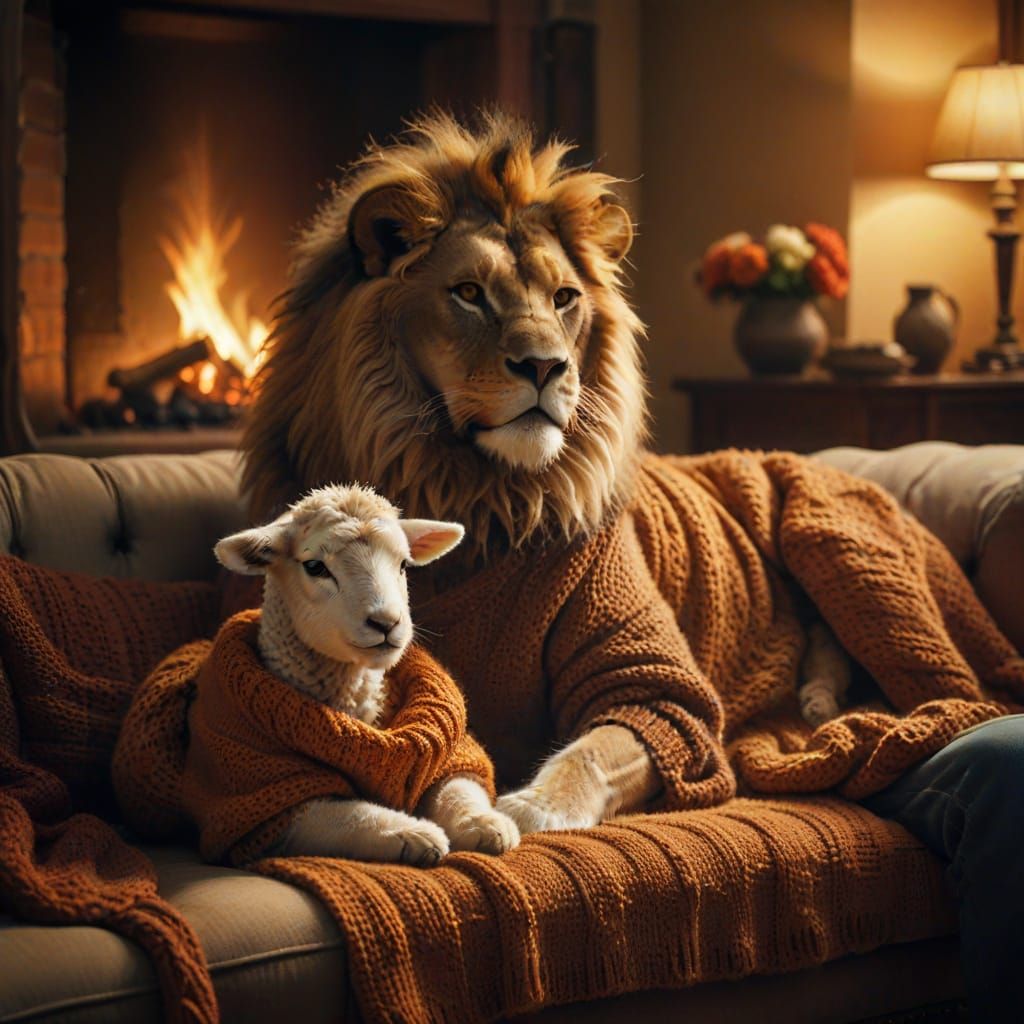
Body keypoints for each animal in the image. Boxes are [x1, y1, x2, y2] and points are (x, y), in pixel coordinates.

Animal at [214, 483, 519, 865]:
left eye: (403, 564)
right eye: (314, 566)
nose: (386, 623)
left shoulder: (452, 754)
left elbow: (457, 786)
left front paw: (485, 824)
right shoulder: (266, 797)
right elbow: (343, 816)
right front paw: (414, 834)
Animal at [241, 111, 680, 833]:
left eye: (565, 298)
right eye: (470, 294)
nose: (546, 366)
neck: (481, 491)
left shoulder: (655, 691)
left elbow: (592, 751)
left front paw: (531, 808)